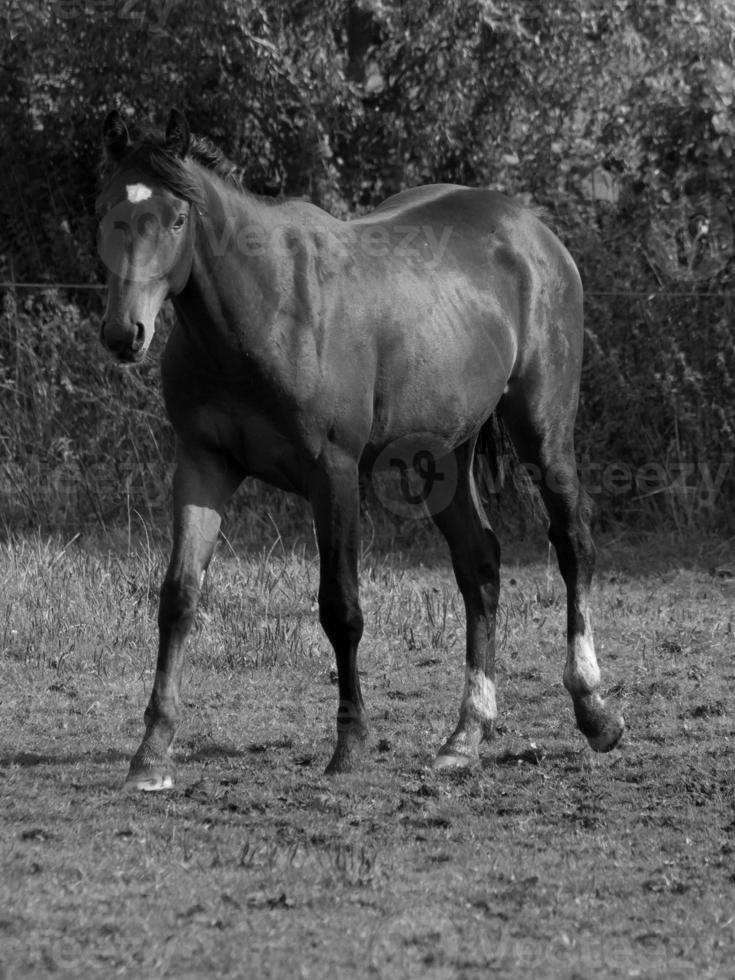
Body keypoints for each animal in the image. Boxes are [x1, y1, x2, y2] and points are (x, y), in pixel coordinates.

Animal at [96, 111, 628, 792]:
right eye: (109, 207)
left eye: (176, 219)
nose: (124, 333)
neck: (263, 306)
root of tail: (533, 233)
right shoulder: (202, 465)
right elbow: (179, 597)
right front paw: (151, 753)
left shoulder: (334, 474)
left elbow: (340, 607)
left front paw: (350, 744)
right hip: (443, 456)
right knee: (479, 566)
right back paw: (465, 736)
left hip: (543, 431)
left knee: (572, 545)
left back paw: (594, 711)